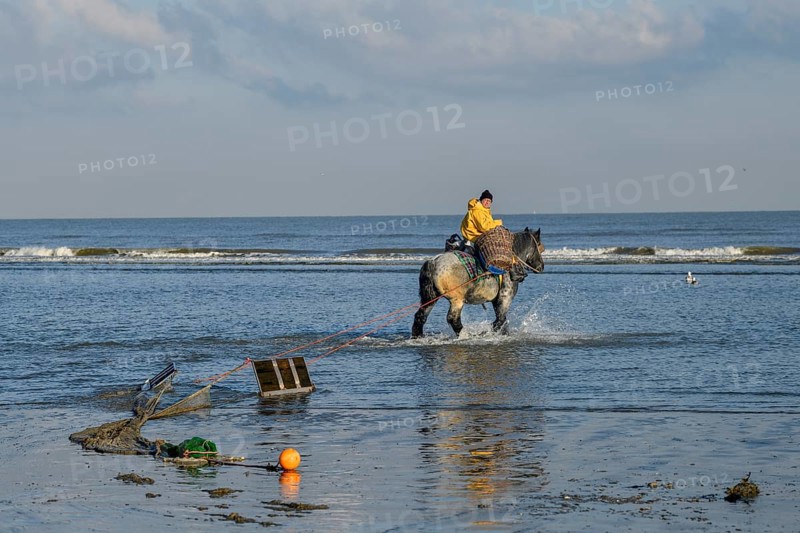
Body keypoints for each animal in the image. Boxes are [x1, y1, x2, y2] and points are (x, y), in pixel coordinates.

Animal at [411, 228, 545, 338]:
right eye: (539, 247)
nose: (541, 266)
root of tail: (433, 262)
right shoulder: (505, 298)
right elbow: (500, 320)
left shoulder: (496, 301)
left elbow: (501, 321)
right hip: (456, 300)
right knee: (453, 319)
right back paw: (466, 335)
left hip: (430, 298)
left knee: (420, 317)